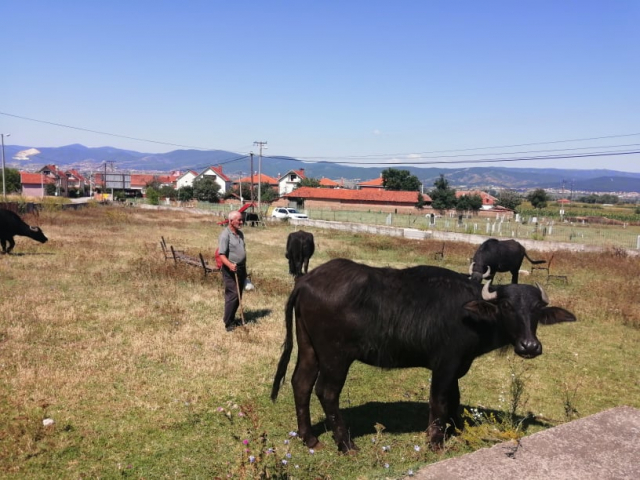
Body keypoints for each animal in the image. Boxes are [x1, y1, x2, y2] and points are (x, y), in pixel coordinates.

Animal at [270, 258, 576, 450]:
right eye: (507, 307)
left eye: (536, 309)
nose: (529, 346)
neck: (472, 314)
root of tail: (306, 281)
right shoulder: (445, 364)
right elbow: (439, 401)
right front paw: (435, 441)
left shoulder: (457, 366)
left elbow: (454, 398)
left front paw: (455, 429)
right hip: (336, 356)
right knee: (327, 392)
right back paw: (346, 445)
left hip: (309, 347)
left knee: (301, 383)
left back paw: (309, 438)